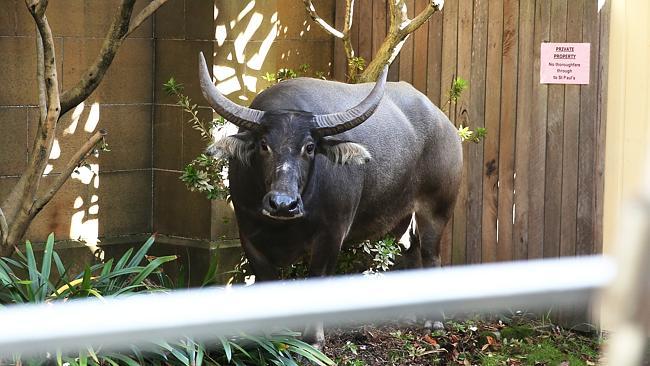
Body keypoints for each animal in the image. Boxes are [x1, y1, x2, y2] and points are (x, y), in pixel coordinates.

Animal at [197, 53, 460, 344]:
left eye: (310, 147)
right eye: (264, 144)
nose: (283, 204)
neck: (284, 226)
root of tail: (445, 125)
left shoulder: (332, 234)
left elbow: (317, 279)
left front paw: (313, 338)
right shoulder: (248, 233)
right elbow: (267, 280)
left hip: (437, 208)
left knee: (430, 253)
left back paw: (434, 321)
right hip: (400, 217)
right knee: (410, 251)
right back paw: (410, 315)